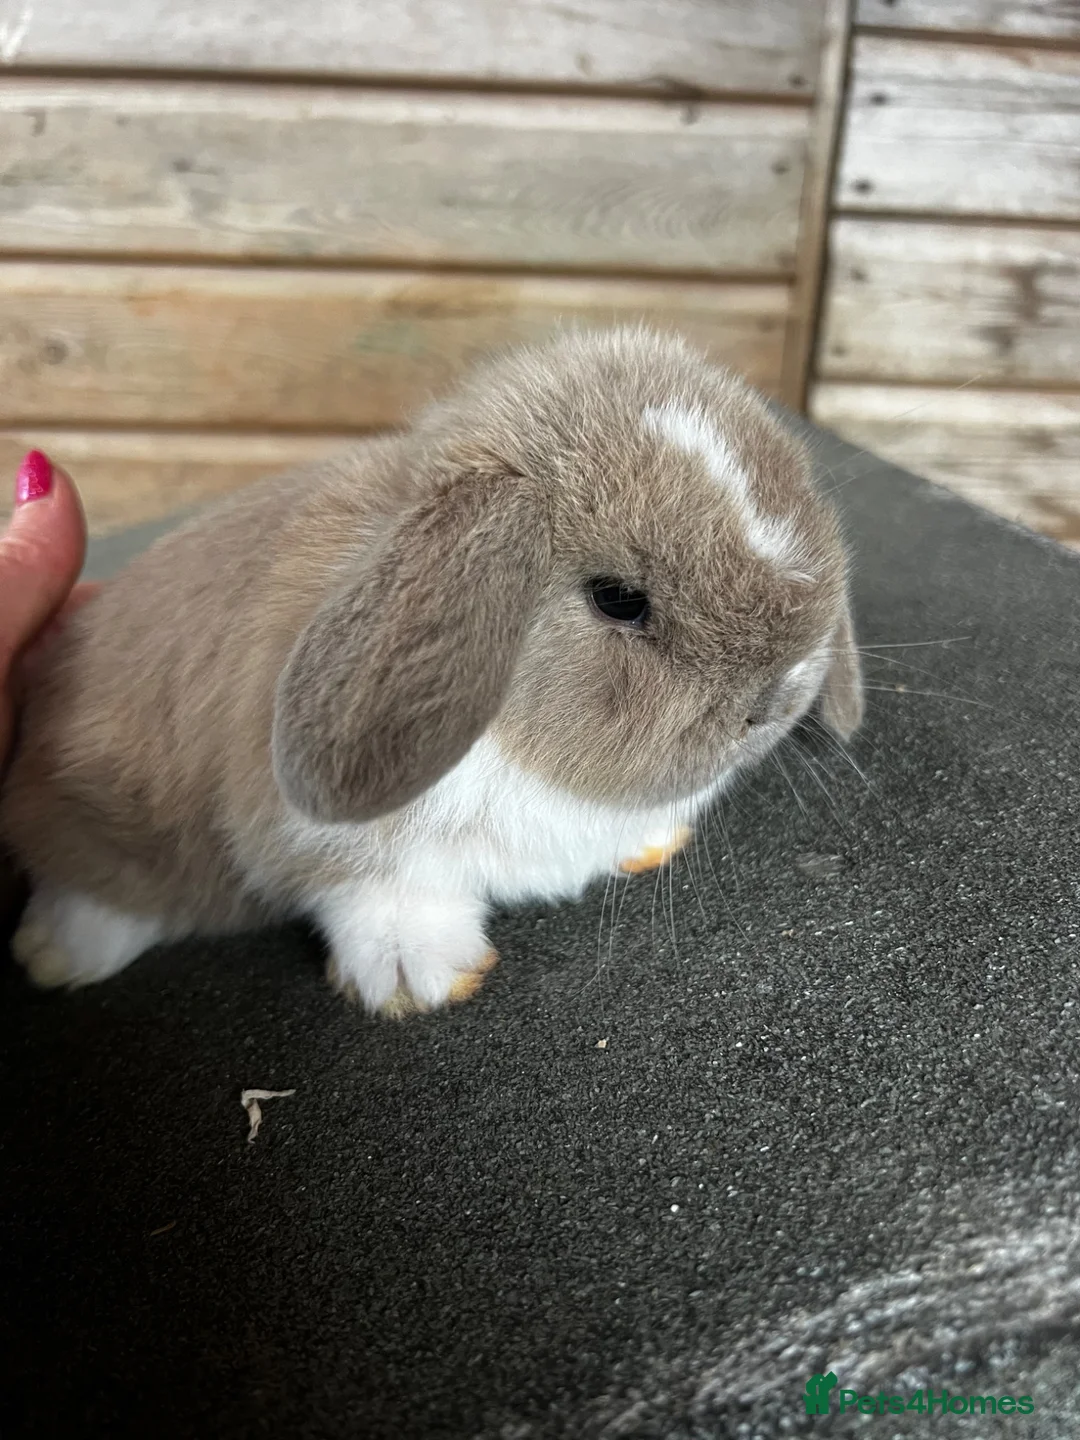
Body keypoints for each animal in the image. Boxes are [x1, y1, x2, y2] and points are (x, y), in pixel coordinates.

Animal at [0, 327, 863, 1016]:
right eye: (619, 599)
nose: (776, 698)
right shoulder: (333, 842)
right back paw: (56, 957)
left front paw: (653, 843)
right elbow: (379, 893)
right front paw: (421, 979)